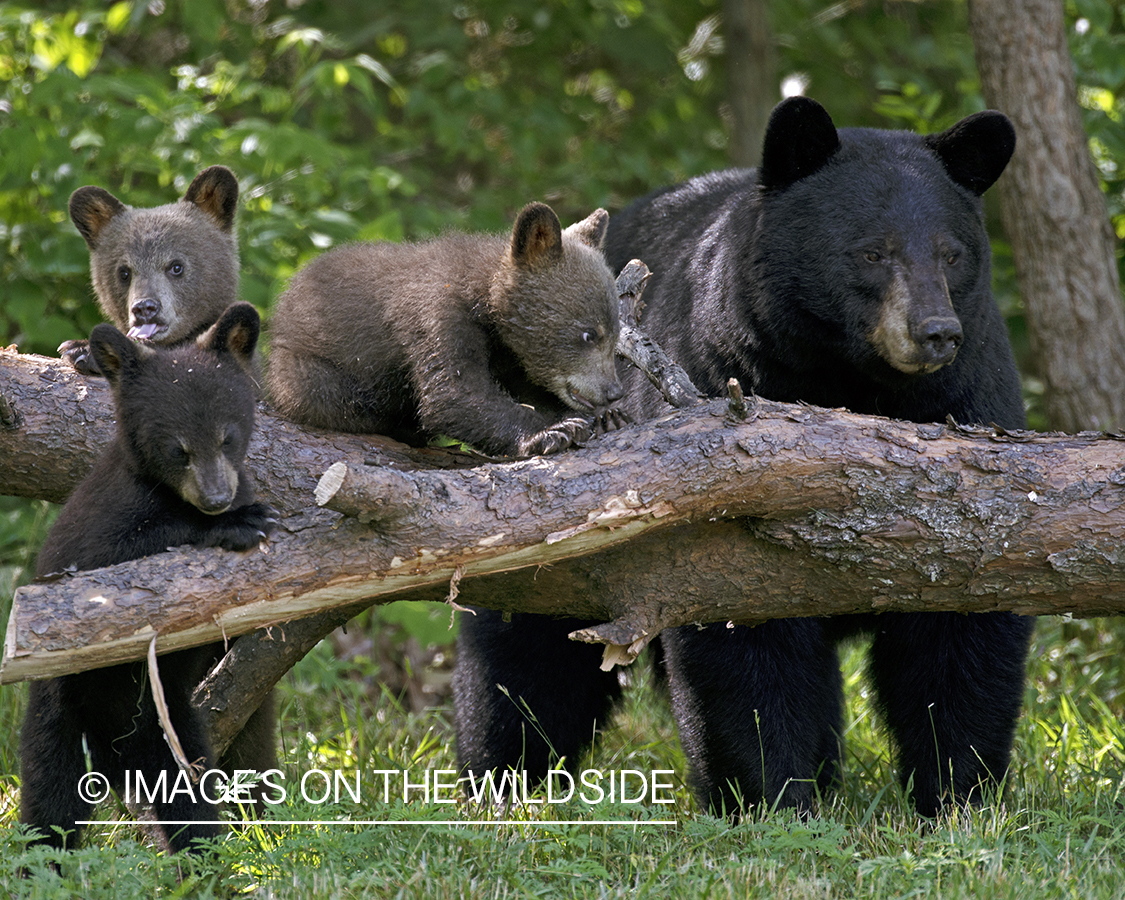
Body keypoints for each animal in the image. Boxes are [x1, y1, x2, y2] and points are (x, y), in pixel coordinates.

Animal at [18, 301, 275, 850]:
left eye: (228, 436)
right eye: (179, 448)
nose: (217, 498)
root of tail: (115, 753)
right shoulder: (96, 524)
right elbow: (104, 560)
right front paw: (239, 523)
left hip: (169, 725)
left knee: (197, 789)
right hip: (61, 711)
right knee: (51, 798)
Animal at [268, 202, 630, 456]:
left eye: (615, 334)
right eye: (588, 334)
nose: (613, 391)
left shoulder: (510, 354)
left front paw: (607, 416)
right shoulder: (437, 317)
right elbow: (455, 392)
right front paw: (554, 431)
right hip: (304, 368)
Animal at [452, 96, 1030, 814]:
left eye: (951, 253)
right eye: (873, 251)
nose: (936, 332)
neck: (851, 385)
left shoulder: (968, 410)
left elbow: (962, 623)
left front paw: (958, 795)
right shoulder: (723, 393)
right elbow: (741, 635)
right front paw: (767, 795)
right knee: (523, 658)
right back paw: (501, 781)